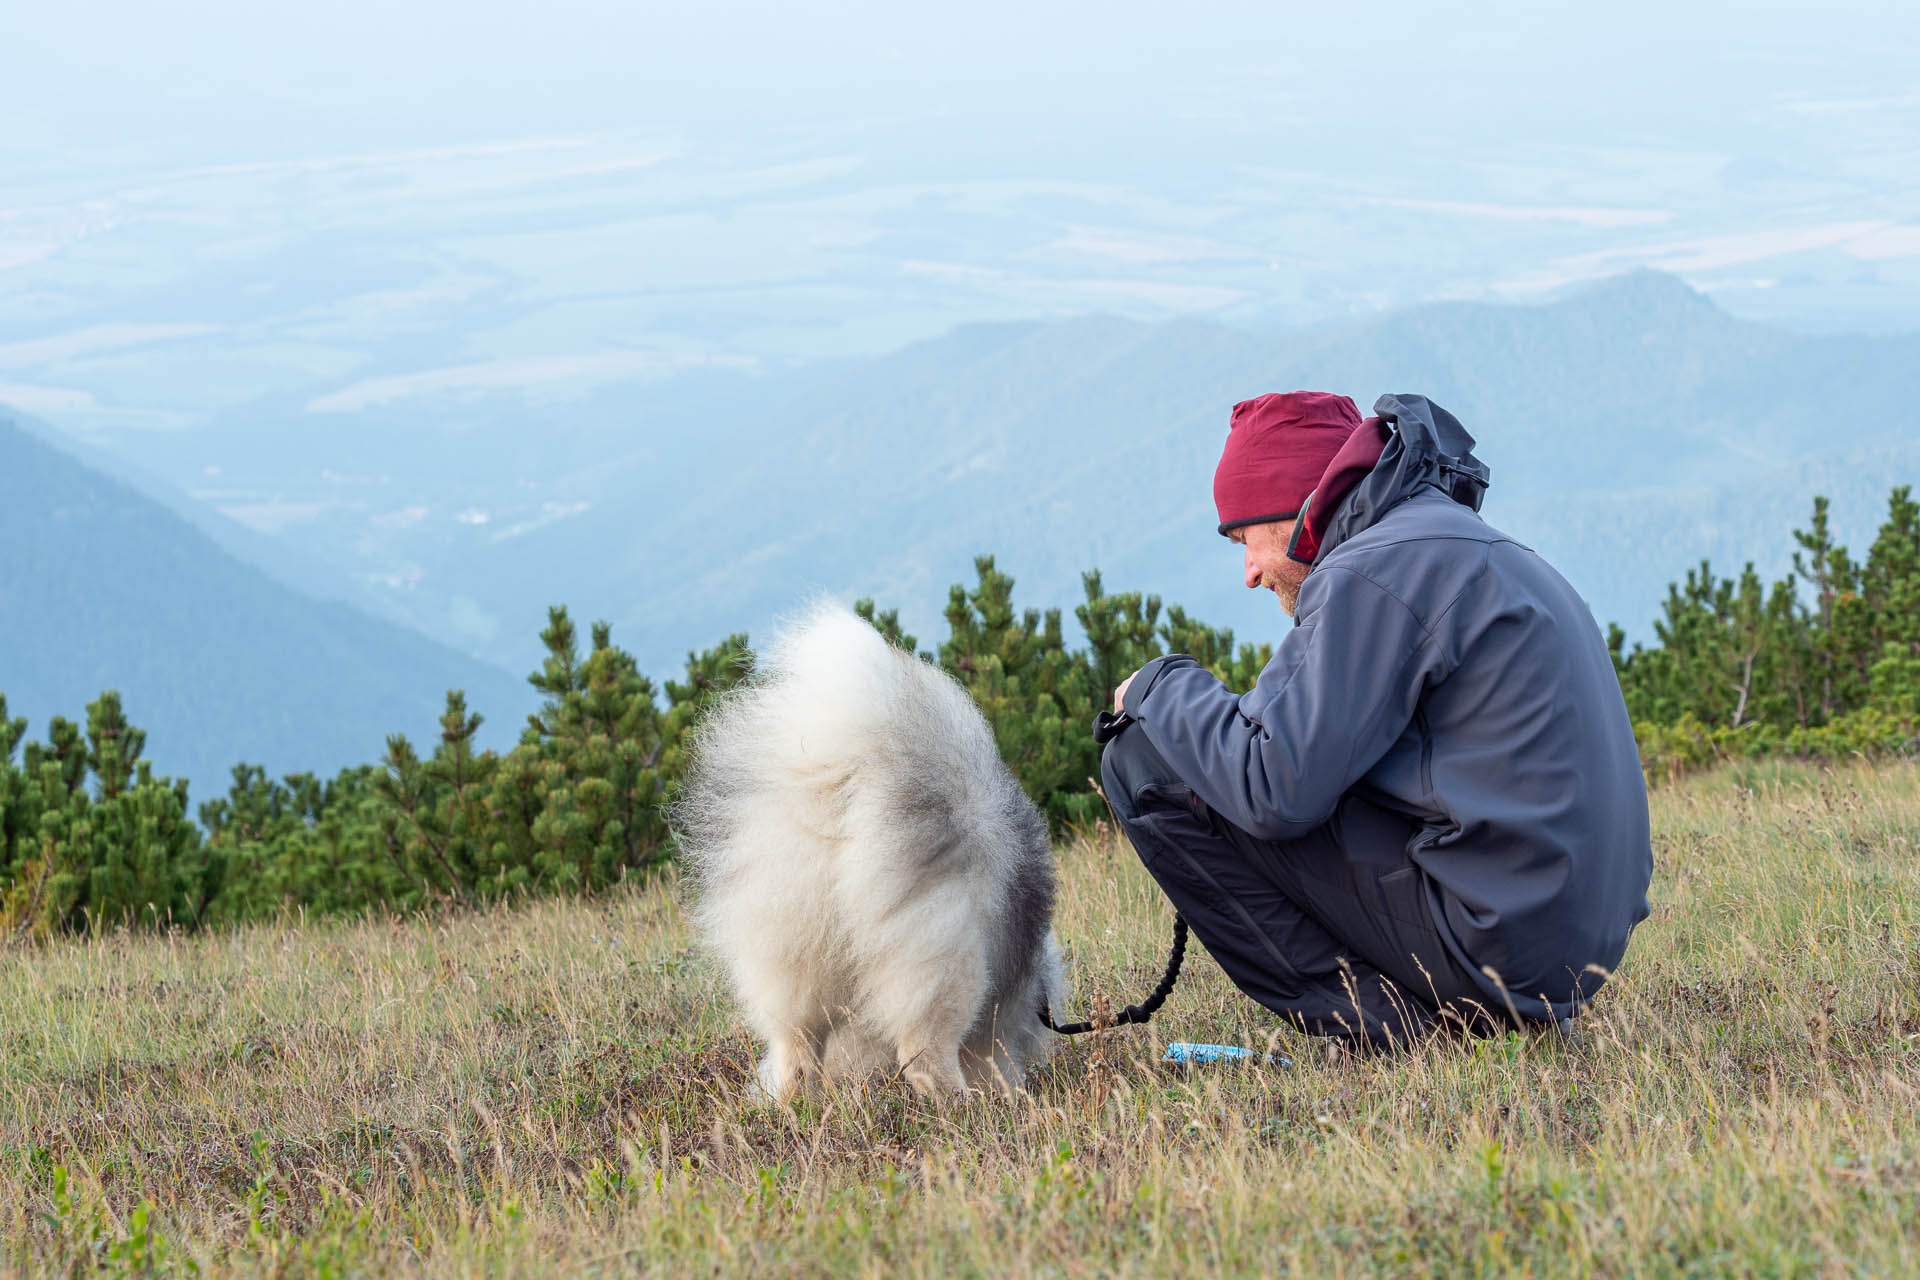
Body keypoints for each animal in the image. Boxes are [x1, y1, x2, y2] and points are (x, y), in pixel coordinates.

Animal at [675, 606, 1067, 1097]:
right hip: (943, 955)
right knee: (924, 1053)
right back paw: (964, 1102)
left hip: (789, 958)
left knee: (795, 1048)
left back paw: (795, 1099)